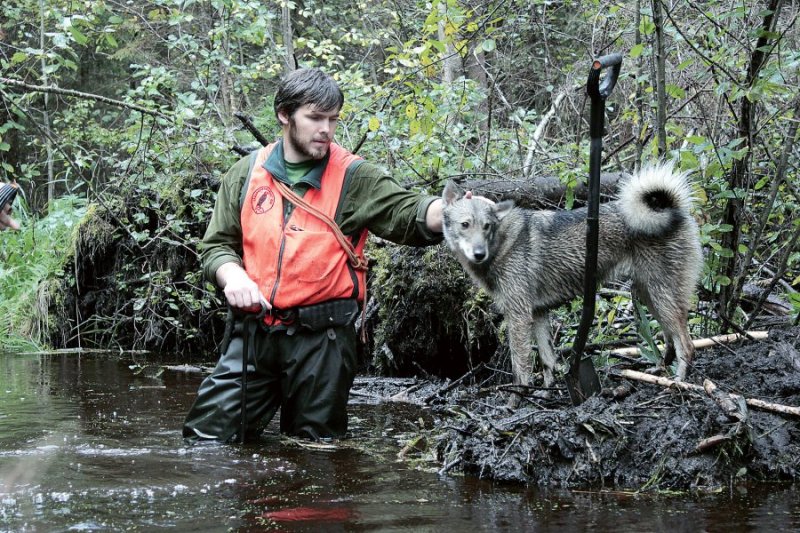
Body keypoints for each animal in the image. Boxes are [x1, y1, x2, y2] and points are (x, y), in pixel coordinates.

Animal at [440, 162, 704, 394]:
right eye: (465, 224)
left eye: (487, 226)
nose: (479, 254)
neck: (502, 243)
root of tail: (674, 208)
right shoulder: (538, 314)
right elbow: (547, 361)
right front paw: (545, 393)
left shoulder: (518, 316)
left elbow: (521, 368)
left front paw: (517, 399)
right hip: (649, 294)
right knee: (669, 338)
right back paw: (660, 371)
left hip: (662, 295)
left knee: (686, 344)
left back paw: (679, 381)